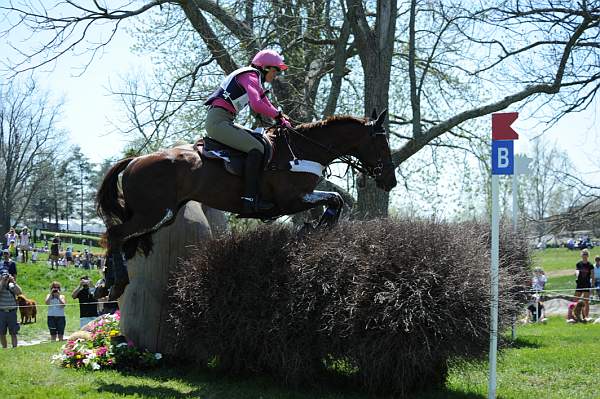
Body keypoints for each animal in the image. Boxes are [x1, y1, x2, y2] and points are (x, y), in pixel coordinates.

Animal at [96, 111, 396, 298]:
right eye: (383, 144)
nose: (390, 181)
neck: (303, 150)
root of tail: (135, 160)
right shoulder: (291, 200)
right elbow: (335, 199)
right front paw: (316, 227)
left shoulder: (299, 199)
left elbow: (335, 201)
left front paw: (315, 229)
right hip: (153, 213)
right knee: (116, 234)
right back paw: (116, 283)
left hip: (162, 215)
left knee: (124, 240)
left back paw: (105, 282)